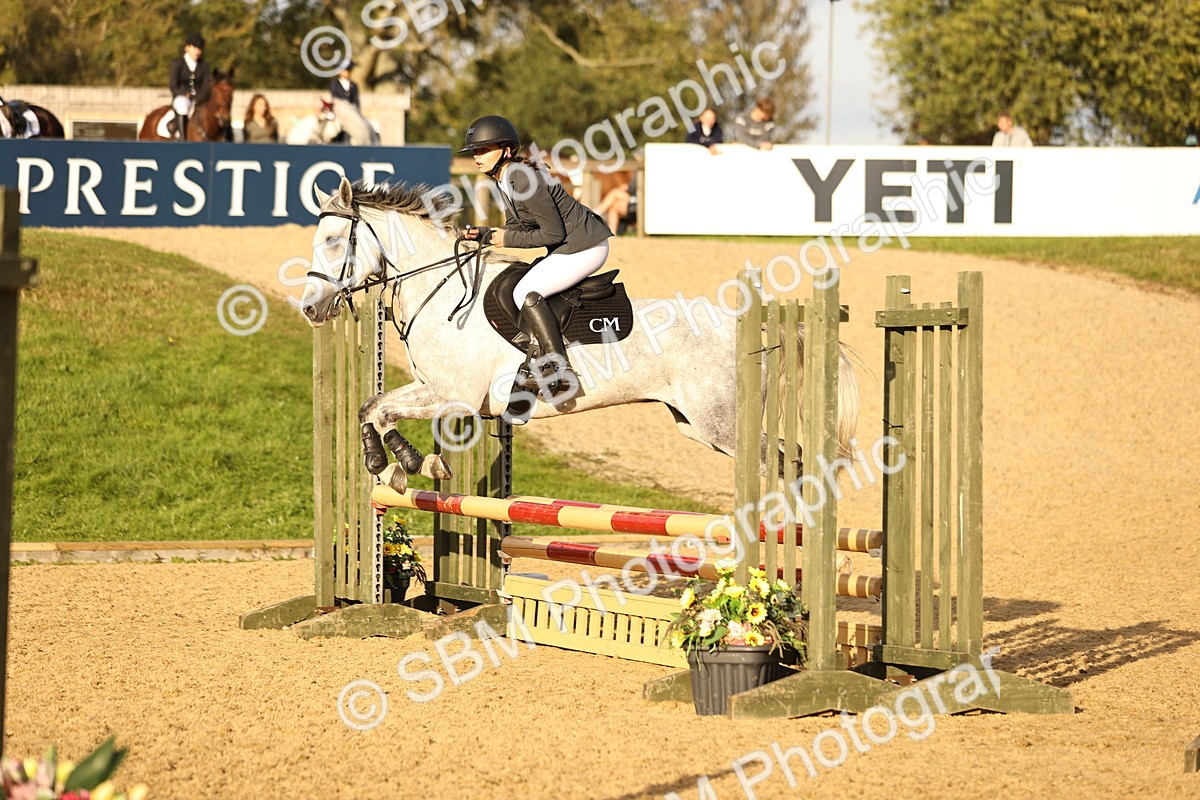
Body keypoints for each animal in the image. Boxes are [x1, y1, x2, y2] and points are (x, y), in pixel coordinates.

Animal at [299, 176, 860, 493]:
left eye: (335, 241)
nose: (309, 309)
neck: (440, 291)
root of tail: (751, 324)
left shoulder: (454, 396)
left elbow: (381, 409)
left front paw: (406, 462)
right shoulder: (434, 390)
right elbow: (371, 405)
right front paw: (393, 464)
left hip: (723, 424)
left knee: (783, 463)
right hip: (697, 425)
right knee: (789, 462)